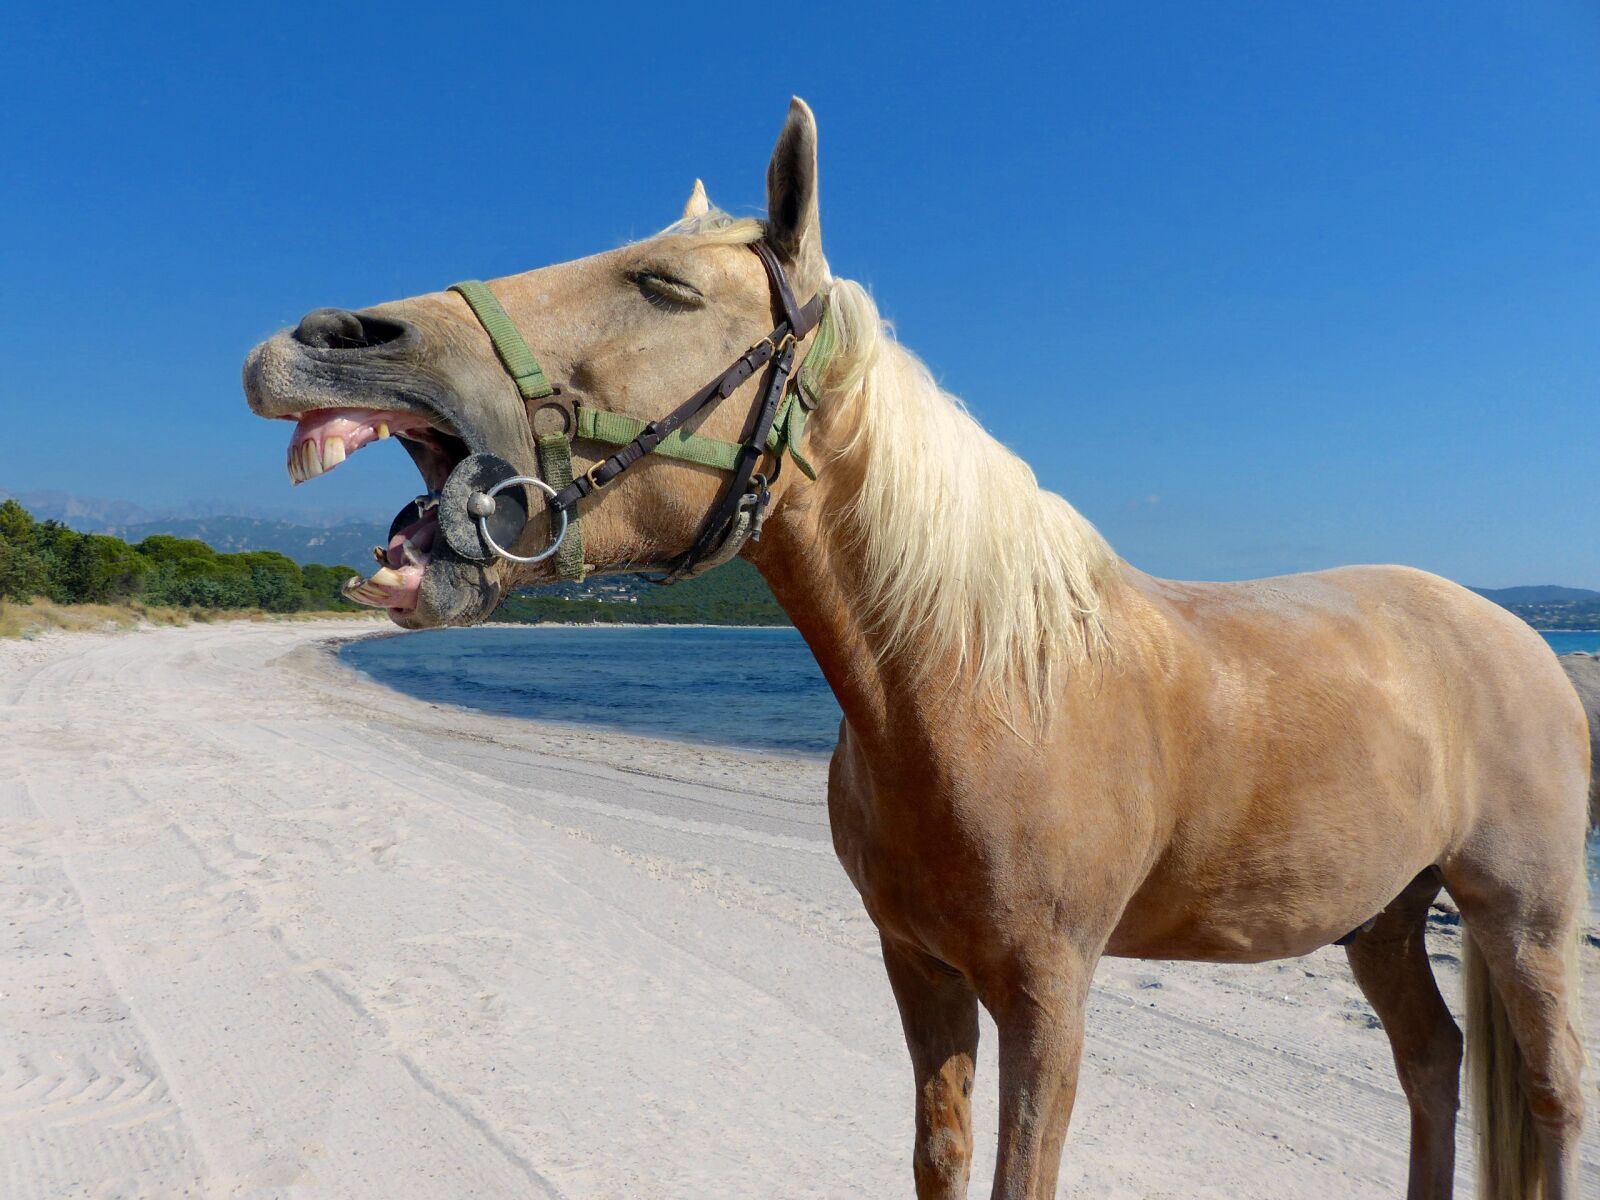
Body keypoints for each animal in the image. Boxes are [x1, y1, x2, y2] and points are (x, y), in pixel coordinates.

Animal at [244, 98, 1589, 1199]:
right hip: (1383, 916)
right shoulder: (918, 967)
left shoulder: (1049, 991)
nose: (322, 340)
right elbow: (939, 1159)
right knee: (1432, 1066)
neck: (983, 686)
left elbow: (1018, 1172)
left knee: (1546, 1098)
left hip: (1519, 914)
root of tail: (1521, 638)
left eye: (665, 286)